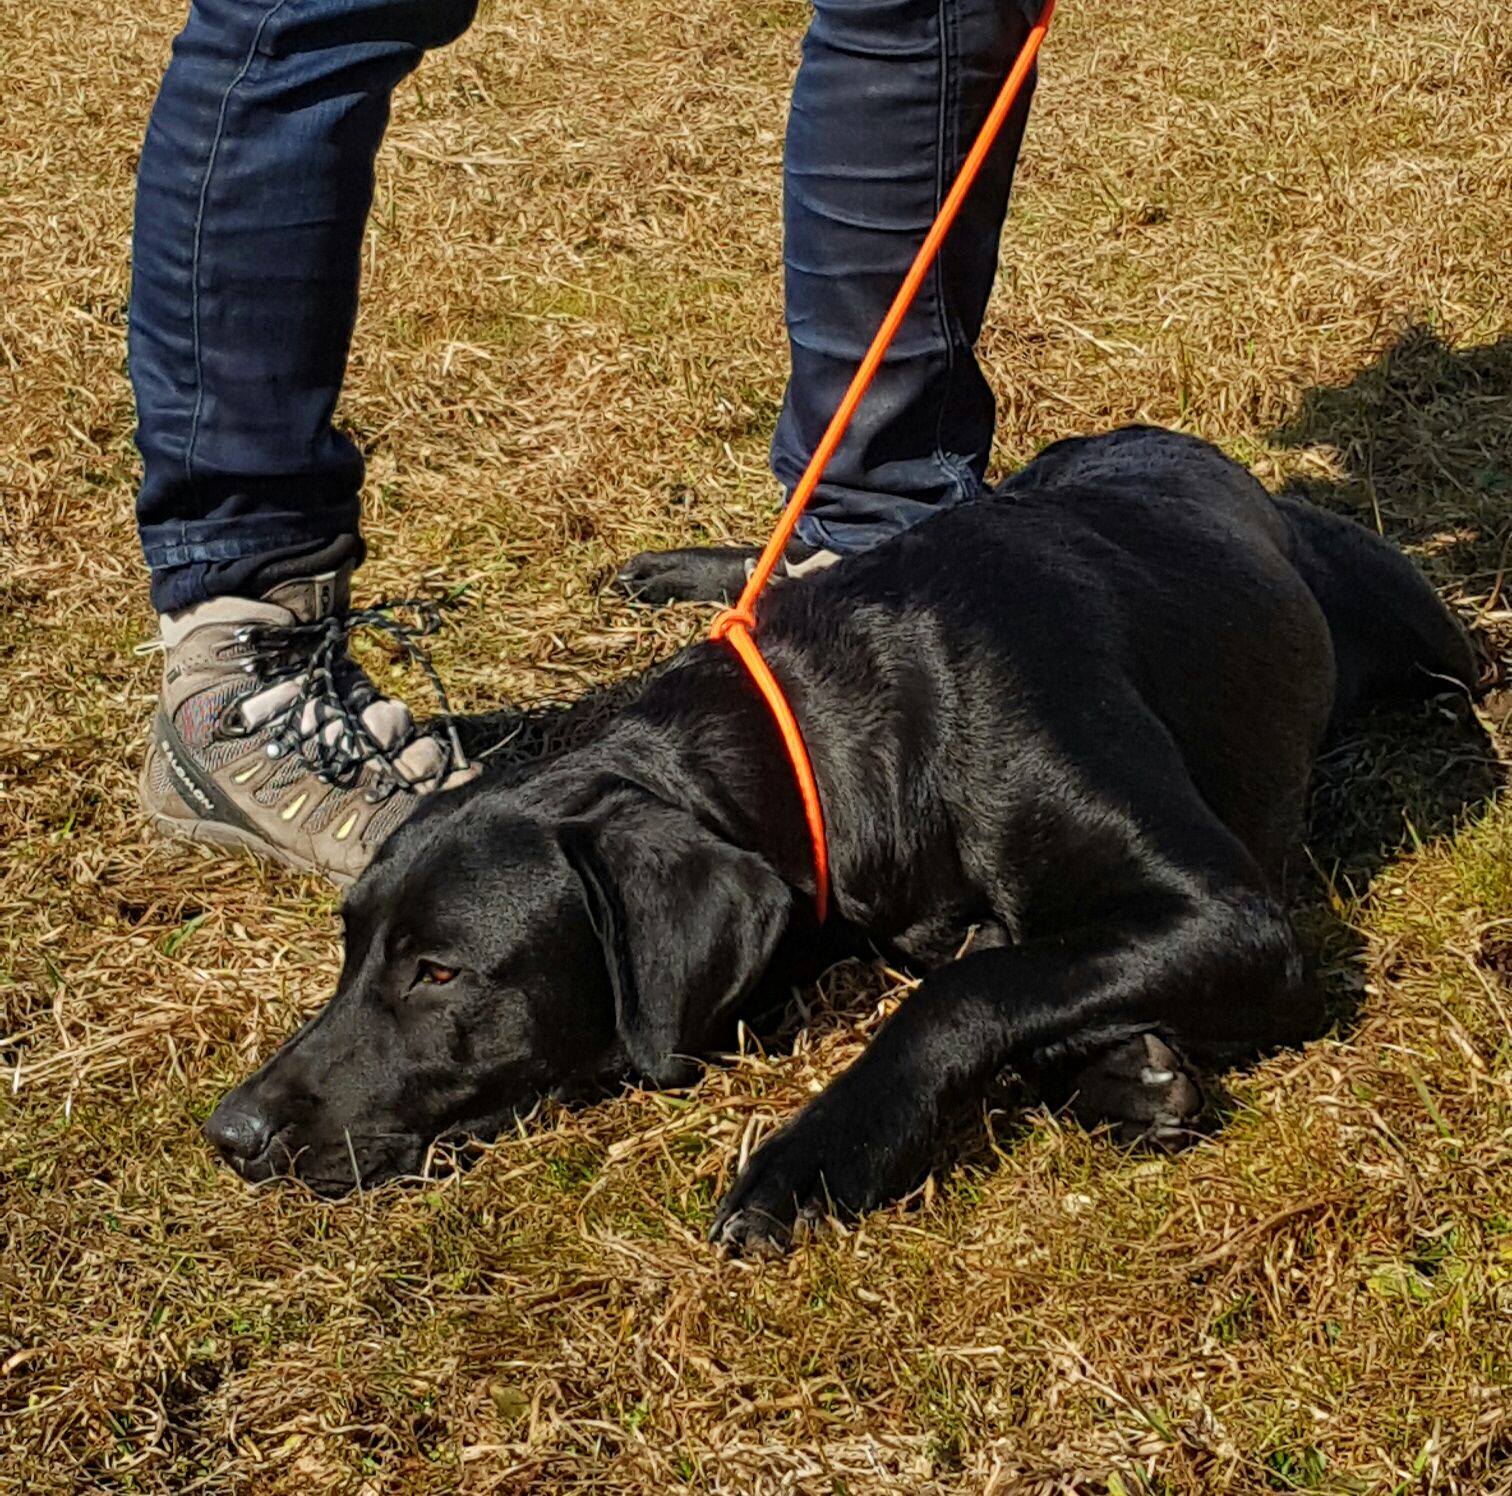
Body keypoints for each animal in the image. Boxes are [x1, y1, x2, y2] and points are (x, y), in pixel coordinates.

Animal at [201, 429, 1475, 1246]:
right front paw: (1120, 1064)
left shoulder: (1233, 912)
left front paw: (812, 1157)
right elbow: (1005, 973)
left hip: (1434, 641)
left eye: (439, 970)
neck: (838, 730)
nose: (233, 1131)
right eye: (351, 951)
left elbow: (966, 986)